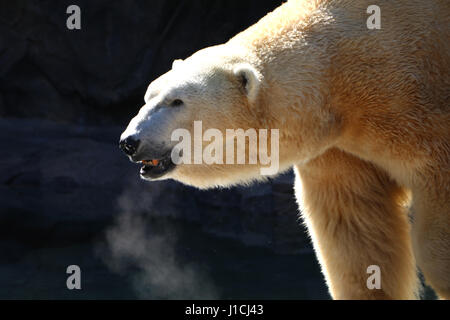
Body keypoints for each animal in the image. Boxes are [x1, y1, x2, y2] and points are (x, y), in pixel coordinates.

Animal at [119, 0, 450, 300]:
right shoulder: (339, 149)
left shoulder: (416, 110)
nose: (129, 141)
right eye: (148, 97)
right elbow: (356, 230)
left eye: (177, 101)